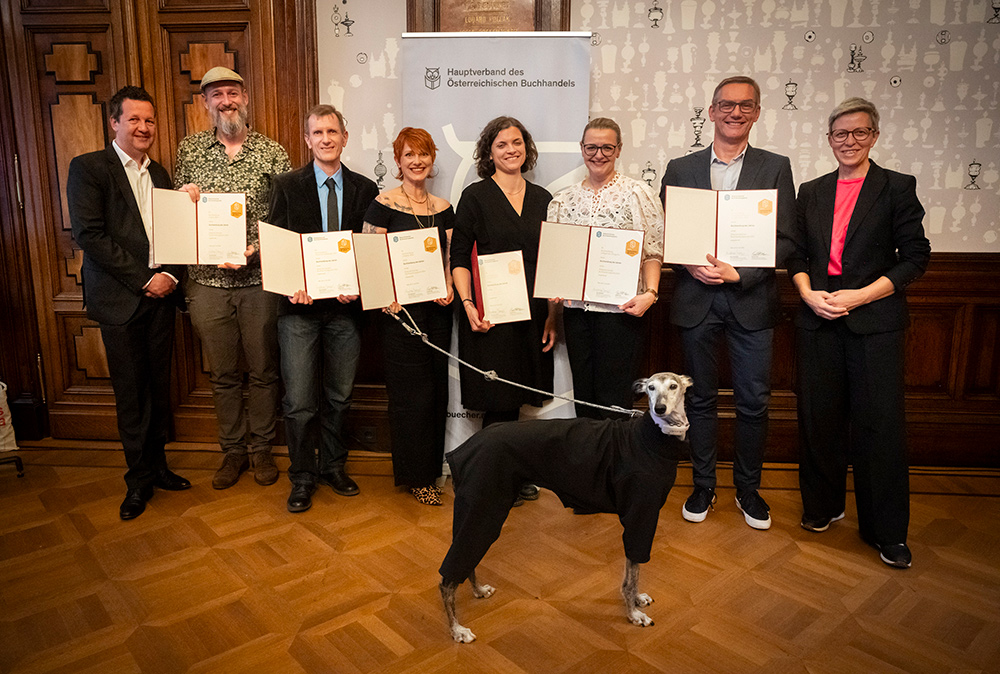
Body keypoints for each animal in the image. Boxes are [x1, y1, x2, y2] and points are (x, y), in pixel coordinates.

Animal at [442, 372, 692, 640]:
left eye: (673, 386)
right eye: (650, 388)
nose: (659, 408)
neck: (653, 437)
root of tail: (460, 450)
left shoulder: (642, 517)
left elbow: (633, 571)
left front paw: (637, 600)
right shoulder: (640, 515)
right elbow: (631, 575)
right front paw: (633, 613)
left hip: (476, 509)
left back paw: (478, 590)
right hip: (484, 507)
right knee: (448, 576)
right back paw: (456, 629)